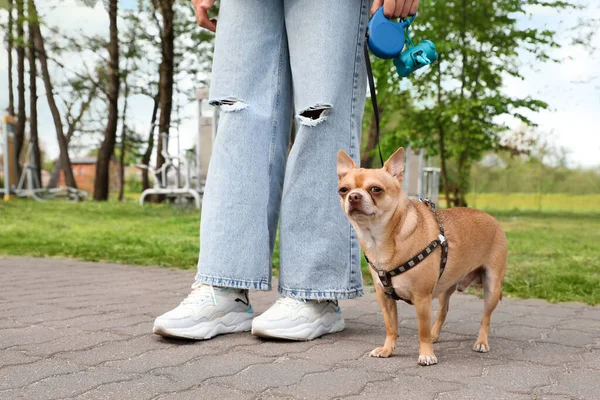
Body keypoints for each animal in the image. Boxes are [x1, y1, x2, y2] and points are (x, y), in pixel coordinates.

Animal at [338, 147, 506, 366]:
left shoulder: (422, 297)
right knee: (443, 310)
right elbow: (391, 327)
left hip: (492, 287)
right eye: (343, 190)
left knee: (485, 317)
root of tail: (493, 219)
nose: (354, 196)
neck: (380, 239)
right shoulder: (385, 297)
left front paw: (427, 354)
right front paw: (387, 349)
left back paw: (481, 342)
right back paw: (436, 334)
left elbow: (422, 330)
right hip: (446, 286)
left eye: (376, 189)